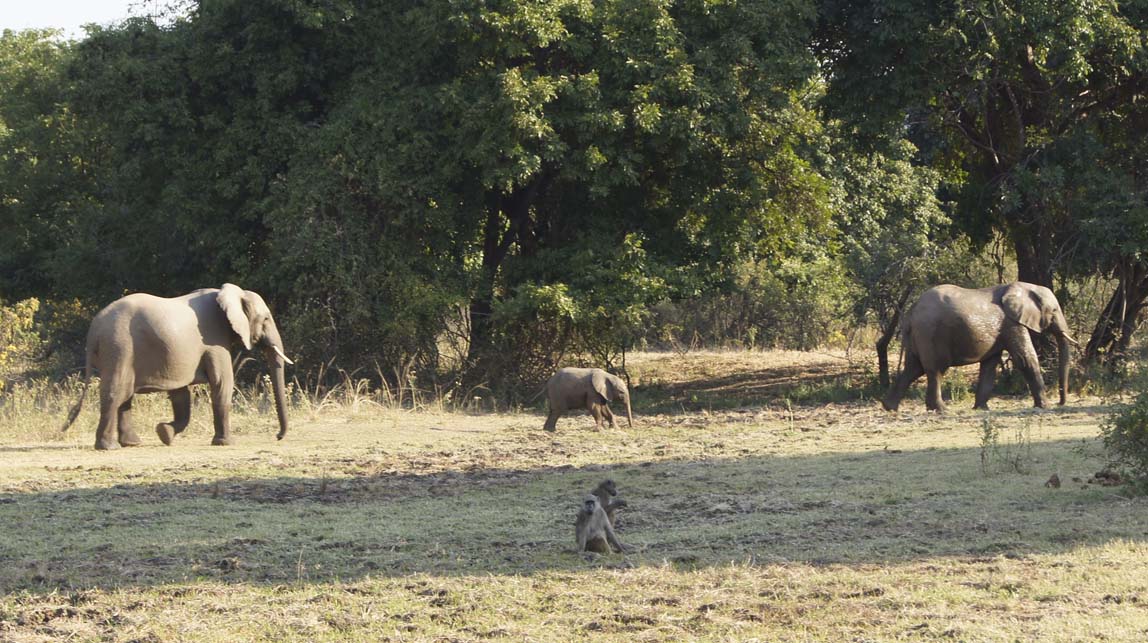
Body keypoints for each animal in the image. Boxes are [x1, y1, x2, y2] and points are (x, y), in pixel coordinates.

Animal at [59, 283, 293, 450]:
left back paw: (131, 444)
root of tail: (94, 330)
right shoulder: (214, 340)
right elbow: (222, 383)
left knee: (125, 396)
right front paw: (226, 443)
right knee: (117, 392)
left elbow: (181, 395)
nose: (278, 436)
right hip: (119, 347)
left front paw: (164, 434)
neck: (232, 293)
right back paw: (109, 447)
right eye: (266, 319)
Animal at [877, 281, 1074, 411]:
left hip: (919, 337)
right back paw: (941, 410)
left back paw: (890, 407)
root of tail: (911, 313)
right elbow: (1025, 359)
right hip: (930, 334)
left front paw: (982, 409)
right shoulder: (1012, 323)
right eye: (1054, 311)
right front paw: (1044, 406)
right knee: (935, 370)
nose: (1060, 402)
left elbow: (990, 365)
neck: (1023, 287)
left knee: (913, 368)